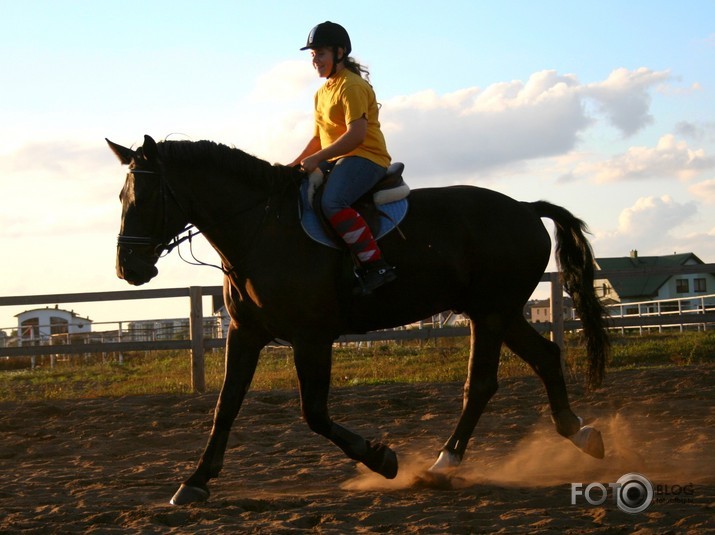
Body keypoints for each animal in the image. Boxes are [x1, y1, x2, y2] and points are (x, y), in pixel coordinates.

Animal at [106, 135, 608, 506]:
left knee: (482, 383)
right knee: (546, 356)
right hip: (498, 312)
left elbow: (314, 413)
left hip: (490, 313)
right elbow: (225, 406)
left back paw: (443, 465)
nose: (128, 268)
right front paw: (194, 482)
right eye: (121, 197)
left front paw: (382, 460)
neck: (261, 229)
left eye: (144, 197)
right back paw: (581, 434)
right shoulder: (244, 333)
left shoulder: (311, 338)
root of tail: (526, 207)